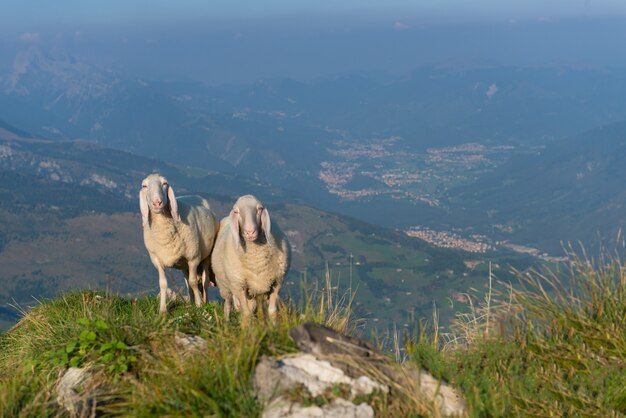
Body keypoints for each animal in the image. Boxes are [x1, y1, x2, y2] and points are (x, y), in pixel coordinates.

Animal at [140, 173, 219, 314]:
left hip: (205, 257)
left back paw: (204, 302)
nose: (157, 202)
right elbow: (163, 283)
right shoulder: (156, 259)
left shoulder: (193, 257)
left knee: (204, 281)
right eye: (144, 186)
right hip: (183, 265)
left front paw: (199, 305)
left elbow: (194, 282)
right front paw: (163, 310)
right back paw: (191, 304)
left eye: (165, 183)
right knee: (187, 282)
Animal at [210, 194, 288, 324]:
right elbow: (245, 313)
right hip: (225, 286)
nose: (250, 232)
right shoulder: (238, 286)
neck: (256, 261)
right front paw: (246, 328)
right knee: (228, 304)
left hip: (253, 291)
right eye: (236, 211)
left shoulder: (277, 282)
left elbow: (272, 311)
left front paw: (273, 327)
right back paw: (226, 322)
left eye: (259, 209)